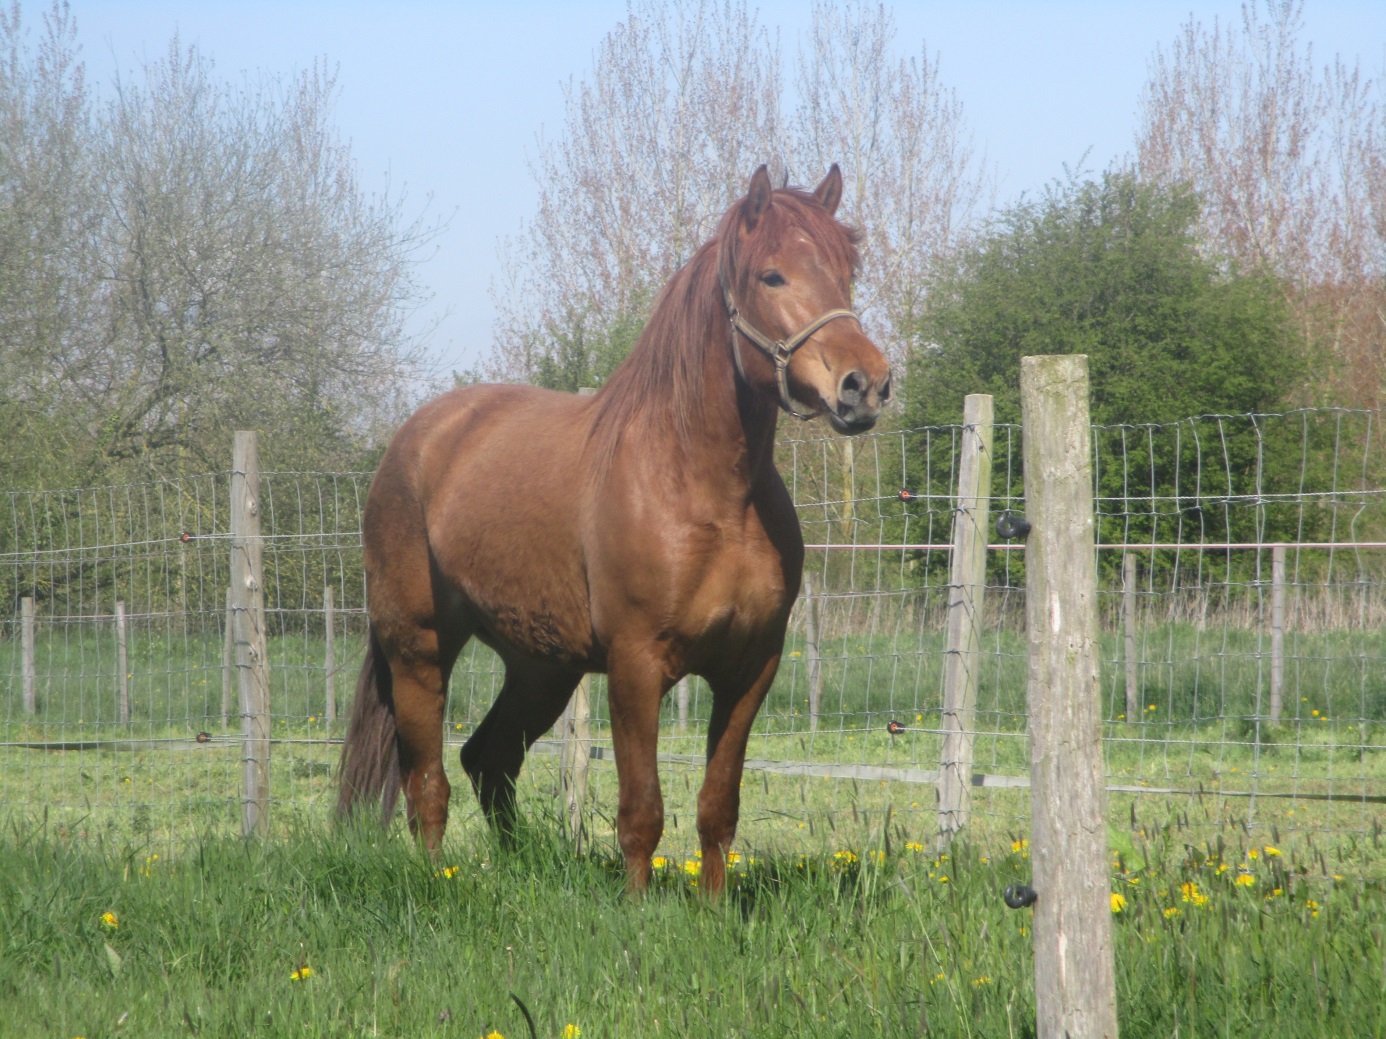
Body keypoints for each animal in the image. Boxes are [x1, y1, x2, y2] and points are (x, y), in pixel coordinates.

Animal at [340, 162, 892, 897]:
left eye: (844, 273)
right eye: (772, 275)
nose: (867, 385)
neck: (705, 490)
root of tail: (416, 437)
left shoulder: (751, 668)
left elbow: (718, 806)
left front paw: (712, 909)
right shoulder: (636, 663)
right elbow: (642, 809)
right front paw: (638, 908)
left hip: (541, 666)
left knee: (489, 758)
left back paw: (519, 870)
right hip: (420, 650)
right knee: (426, 780)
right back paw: (441, 878)